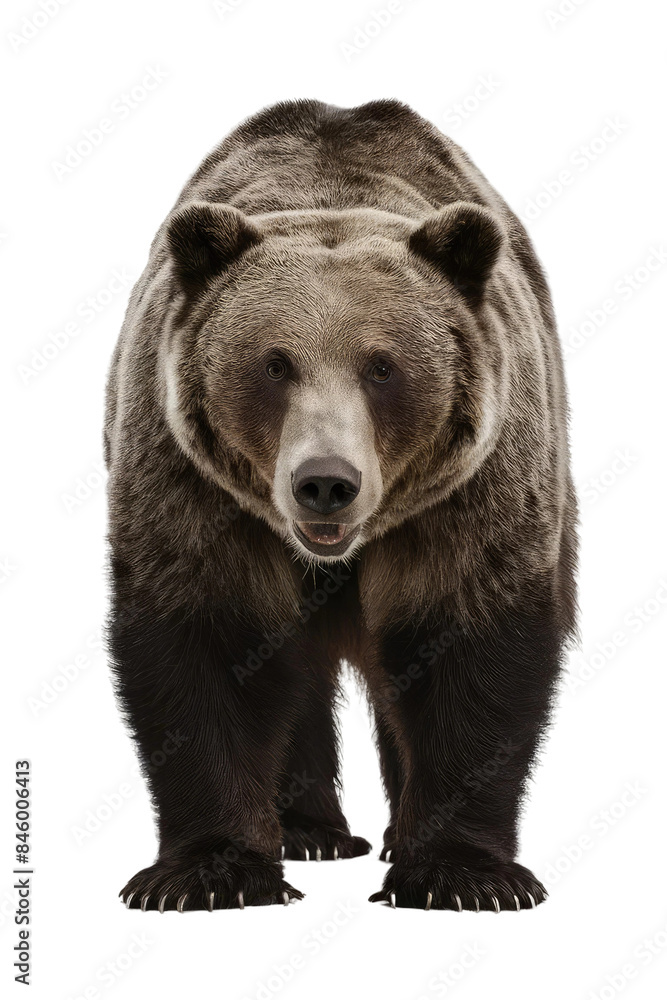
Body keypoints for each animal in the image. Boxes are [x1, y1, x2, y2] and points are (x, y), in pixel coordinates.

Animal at [105, 98, 577, 912]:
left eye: (382, 366)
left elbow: (467, 644)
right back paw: (311, 832)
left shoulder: (468, 495)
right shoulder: (194, 489)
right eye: (274, 364)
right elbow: (208, 641)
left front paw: (461, 874)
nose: (325, 481)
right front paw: (209, 873)